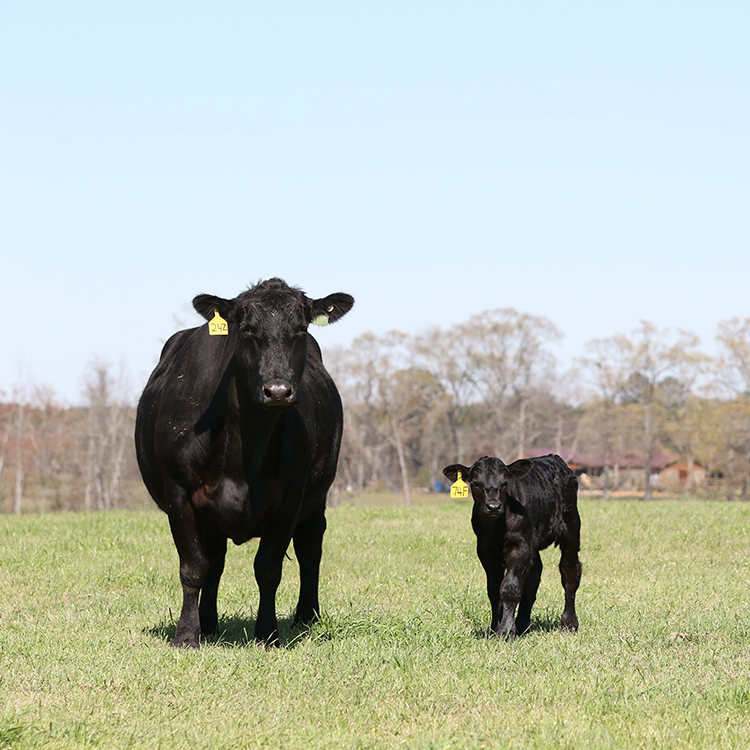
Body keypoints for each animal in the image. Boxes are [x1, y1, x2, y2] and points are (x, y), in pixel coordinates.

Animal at [136, 280, 356, 648]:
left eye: (301, 328)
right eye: (247, 328)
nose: (278, 390)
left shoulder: (292, 495)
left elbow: (268, 567)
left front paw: (267, 633)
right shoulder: (178, 491)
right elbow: (194, 567)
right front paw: (187, 634)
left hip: (317, 496)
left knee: (310, 546)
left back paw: (307, 617)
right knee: (214, 560)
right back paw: (208, 623)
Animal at [444, 452, 584, 640]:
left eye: (505, 483)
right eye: (475, 483)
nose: (493, 506)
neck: (496, 528)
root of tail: (555, 458)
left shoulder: (520, 545)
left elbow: (510, 587)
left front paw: (505, 631)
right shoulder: (485, 550)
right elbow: (494, 590)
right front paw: (495, 627)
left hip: (571, 527)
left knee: (569, 572)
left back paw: (569, 623)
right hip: (533, 542)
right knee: (534, 575)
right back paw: (523, 624)